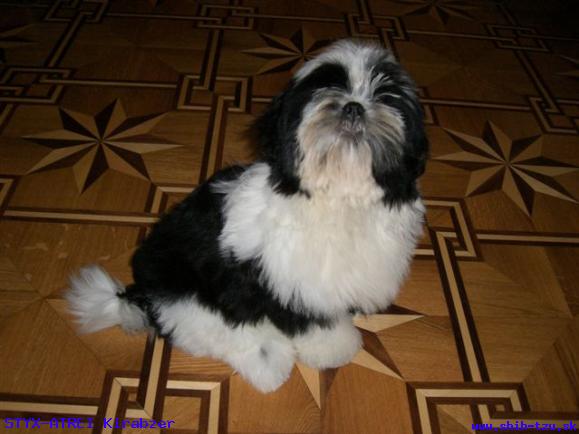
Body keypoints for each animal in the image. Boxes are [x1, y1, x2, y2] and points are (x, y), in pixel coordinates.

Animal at [67, 39, 428, 393]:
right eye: (325, 90)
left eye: (385, 95)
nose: (353, 106)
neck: (339, 195)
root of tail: (140, 295)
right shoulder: (291, 285)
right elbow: (315, 322)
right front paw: (335, 347)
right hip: (189, 295)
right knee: (212, 330)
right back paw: (267, 361)